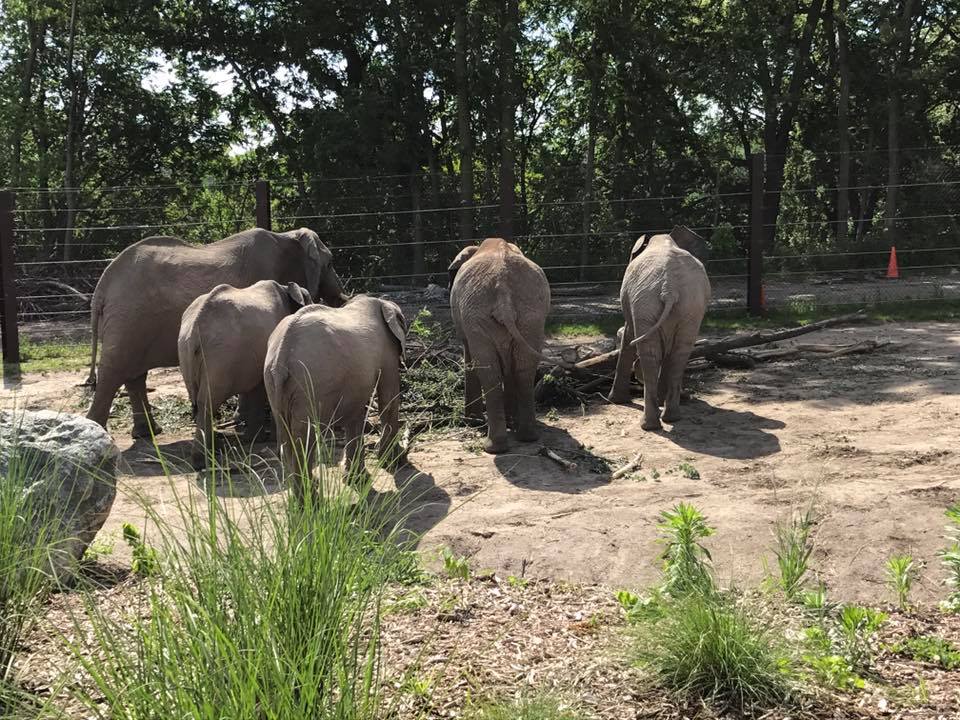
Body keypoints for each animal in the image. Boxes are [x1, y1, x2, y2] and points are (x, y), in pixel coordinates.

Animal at [84, 227, 347, 438]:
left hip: (128, 320)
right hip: (127, 317)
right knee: (113, 372)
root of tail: (102, 286)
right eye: (330, 263)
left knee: (134, 375)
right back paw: (98, 430)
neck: (288, 236)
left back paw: (147, 433)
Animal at [178, 280, 313, 469]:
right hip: (220, 356)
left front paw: (254, 438)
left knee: (197, 400)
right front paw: (261, 438)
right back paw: (202, 460)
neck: (287, 288)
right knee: (208, 402)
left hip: (186, 353)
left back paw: (213, 450)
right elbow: (260, 388)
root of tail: (195, 327)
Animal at [262, 295, 407, 498]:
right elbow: (389, 396)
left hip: (273, 384)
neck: (379, 302)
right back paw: (312, 500)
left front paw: (356, 478)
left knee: (287, 437)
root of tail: (281, 353)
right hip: (310, 382)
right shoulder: (387, 350)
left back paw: (305, 494)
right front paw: (393, 461)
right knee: (305, 439)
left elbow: (356, 411)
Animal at [447, 237, 550, 455]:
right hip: (532, 315)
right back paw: (526, 436)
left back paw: (494, 446)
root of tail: (503, 287)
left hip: (477, 315)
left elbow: (469, 353)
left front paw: (472, 421)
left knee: (488, 371)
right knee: (524, 369)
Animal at [609, 225, 712, 430]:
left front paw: (615, 401)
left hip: (645, 302)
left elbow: (629, 334)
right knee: (680, 353)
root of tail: (669, 288)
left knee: (649, 353)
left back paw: (649, 425)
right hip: (689, 306)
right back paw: (671, 417)